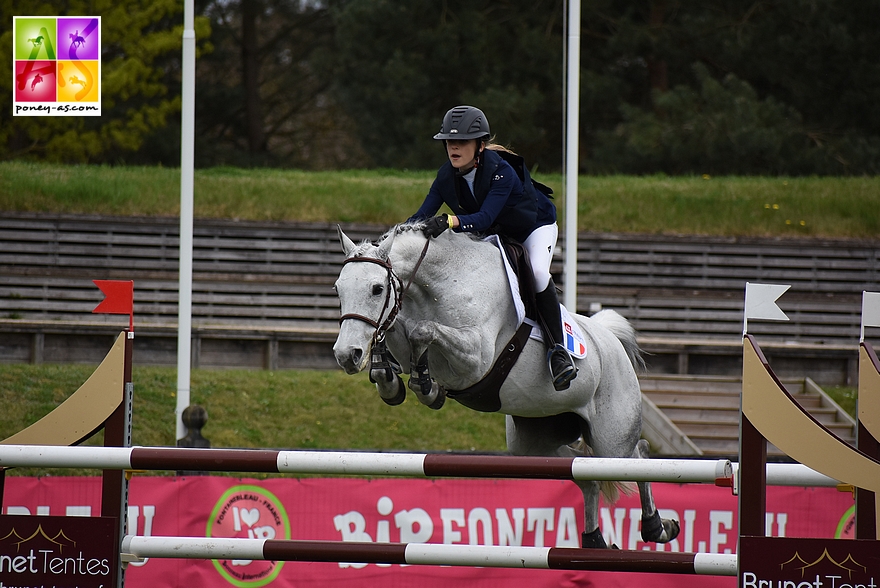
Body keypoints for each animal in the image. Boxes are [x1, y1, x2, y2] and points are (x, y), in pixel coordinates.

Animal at [332, 223, 680, 548]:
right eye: (338, 289)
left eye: (377, 288)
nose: (346, 355)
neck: (438, 284)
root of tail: (611, 339)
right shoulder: (404, 336)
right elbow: (396, 334)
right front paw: (392, 380)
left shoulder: (475, 357)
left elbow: (422, 330)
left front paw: (425, 387)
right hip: (533, 444)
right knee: (585, 474)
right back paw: (594, 540)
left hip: (612, 438)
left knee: (637, 456)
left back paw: (657, 527)